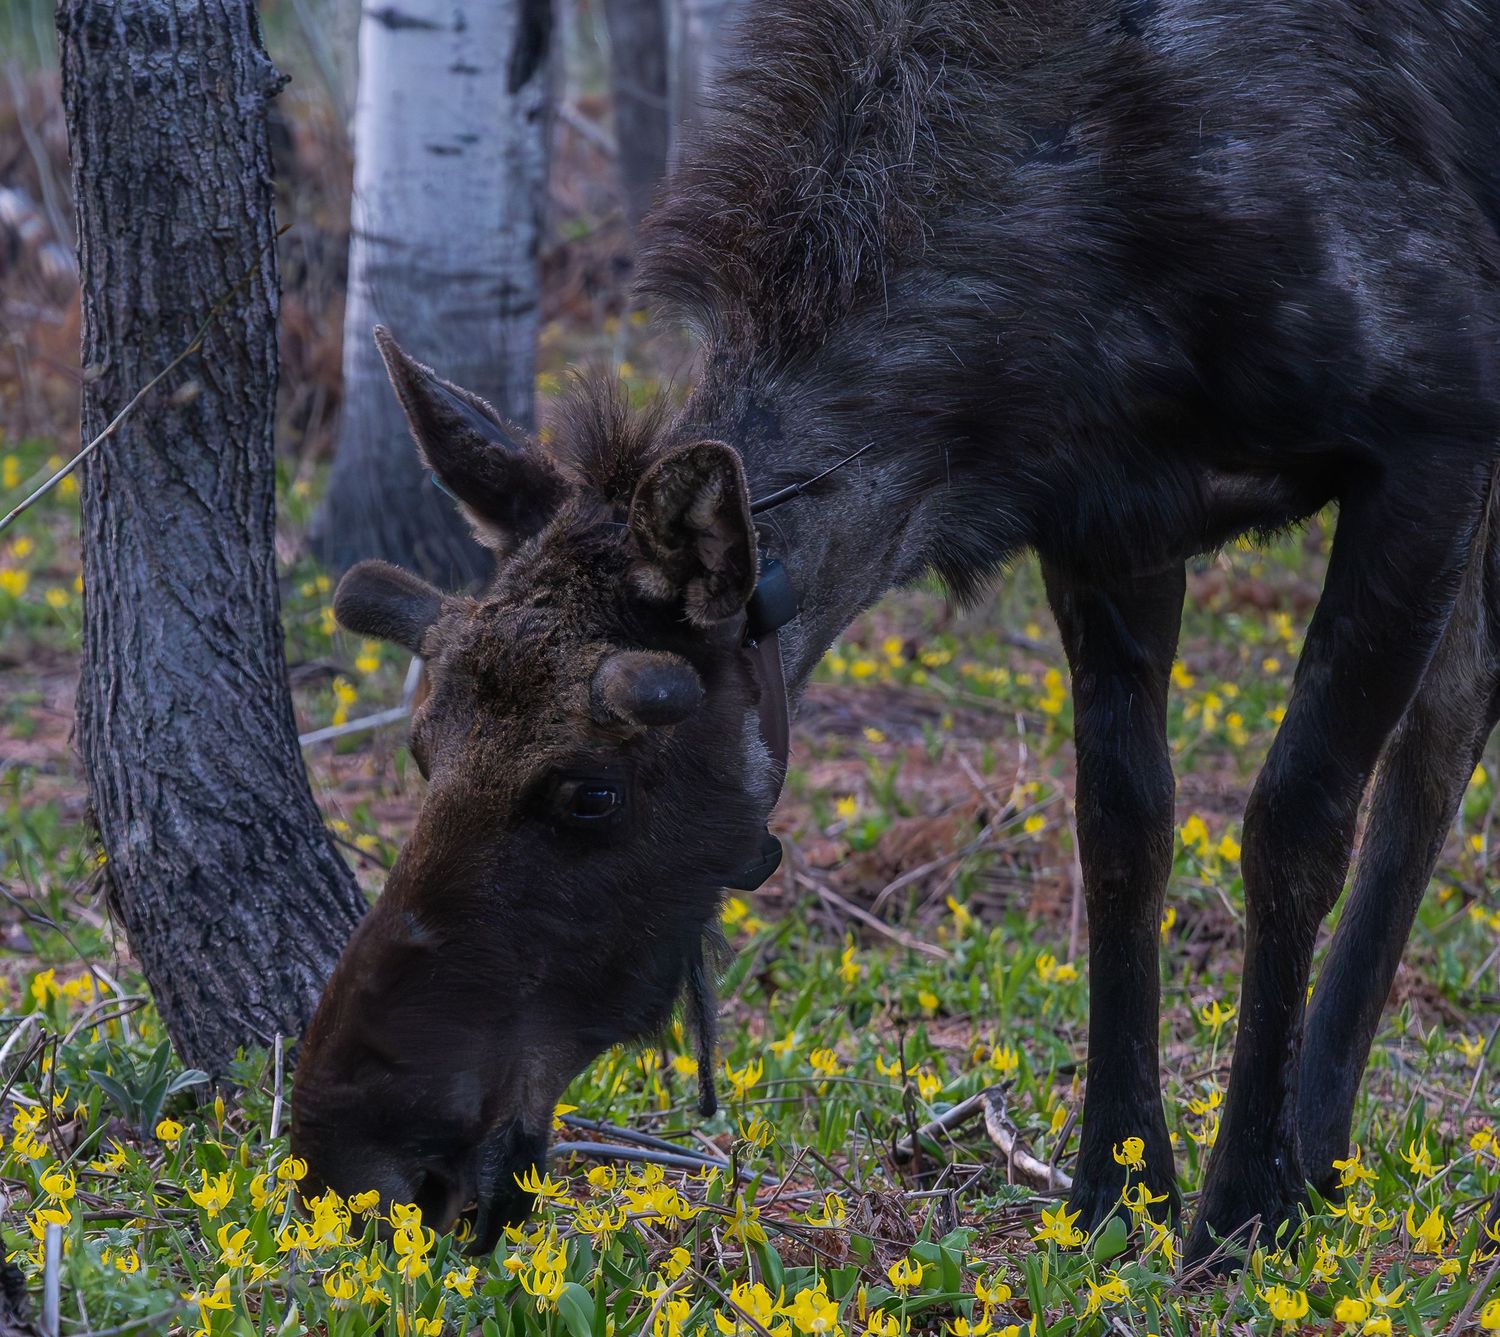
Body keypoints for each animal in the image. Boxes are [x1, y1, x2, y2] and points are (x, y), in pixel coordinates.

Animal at [291, 0, 1500, 1266]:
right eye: (422, 744)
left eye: (590, 790)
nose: (342, 1146)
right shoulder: (1112, 521)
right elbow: (1123, 829)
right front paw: (1117, 1187)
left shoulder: (1431, 431)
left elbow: (1295, 818)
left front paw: (1242, 1201)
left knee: (1438, 737)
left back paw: (1314, 1147)